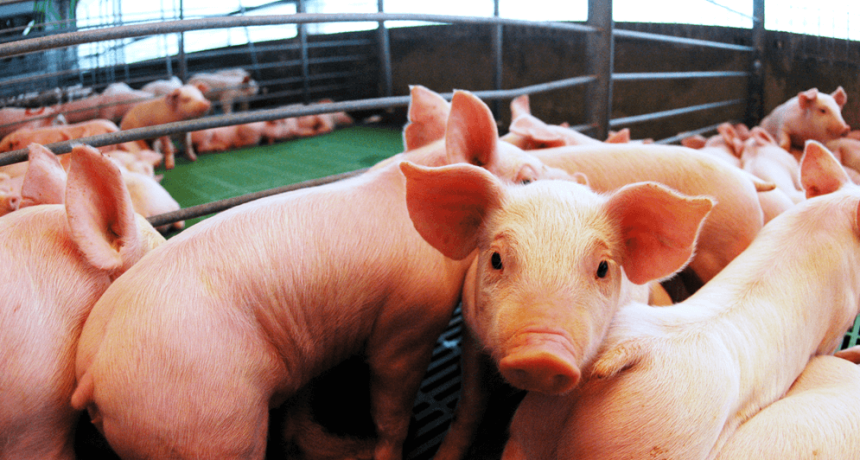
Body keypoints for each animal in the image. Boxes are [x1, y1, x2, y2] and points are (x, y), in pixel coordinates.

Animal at [71, 90, 574, 460]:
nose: (582, 184)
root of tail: (91, 373)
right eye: (527, 179)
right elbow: (391, 406)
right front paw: (385, 450)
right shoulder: (407, 323)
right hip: (202, 422)